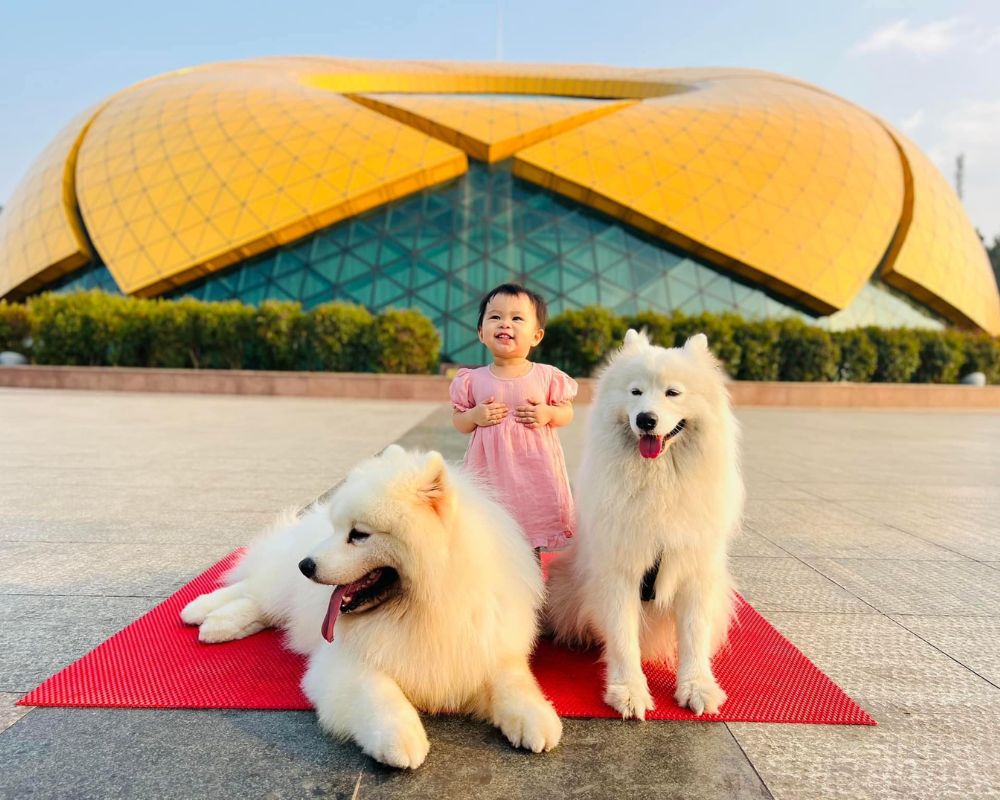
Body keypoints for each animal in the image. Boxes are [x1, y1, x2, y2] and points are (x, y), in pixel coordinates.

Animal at [180, 444, 564, 768]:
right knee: (254, 590)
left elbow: (514, 682)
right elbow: (380, 694)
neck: (422, 611)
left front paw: (537, 717)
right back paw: (204, 612)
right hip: (281, 582)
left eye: (359, 534)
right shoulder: (346, 662)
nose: (306, 565)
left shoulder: (487, 646)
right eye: (339, 529)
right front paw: (400, 738)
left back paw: (216, 623)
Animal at [548, 330, 744, 720]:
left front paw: (697, 687)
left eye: (673, 393)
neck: (658, 482)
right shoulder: (620, 571)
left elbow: (694, 634)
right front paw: (627, 691)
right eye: (635, 392)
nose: (646, 420)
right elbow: (623, 637)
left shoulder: (695, 570)